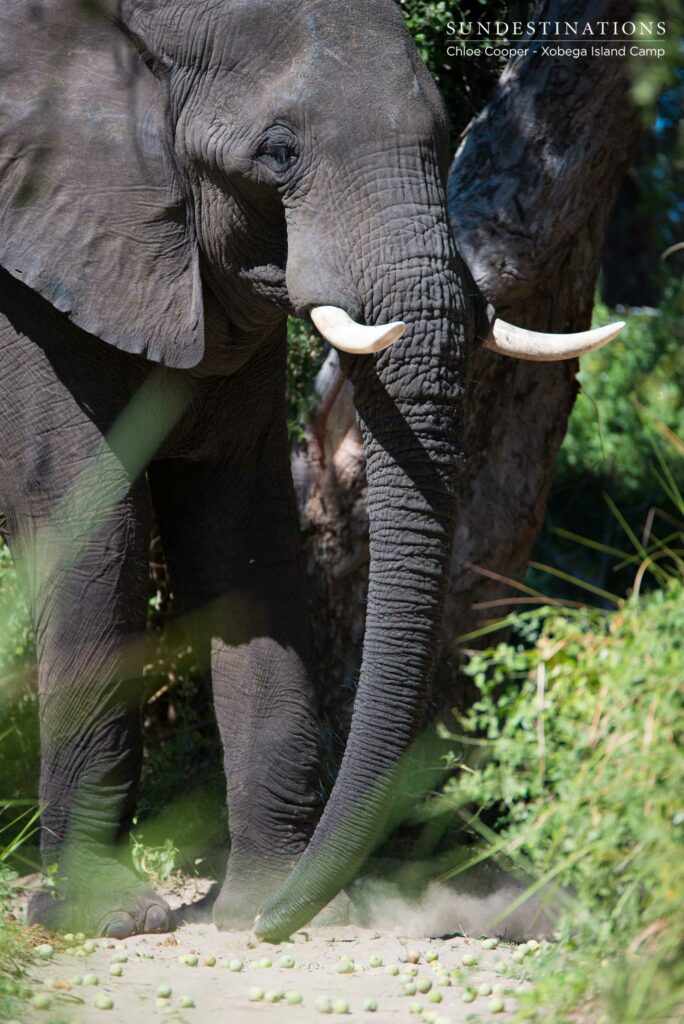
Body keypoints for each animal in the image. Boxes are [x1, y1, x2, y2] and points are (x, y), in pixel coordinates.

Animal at [0, 0, 623, 942]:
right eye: (279, 153)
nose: (272, 925)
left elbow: (244, 537)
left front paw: (270, 903)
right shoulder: (33, 289)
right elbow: (96, 525)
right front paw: (105, 918)